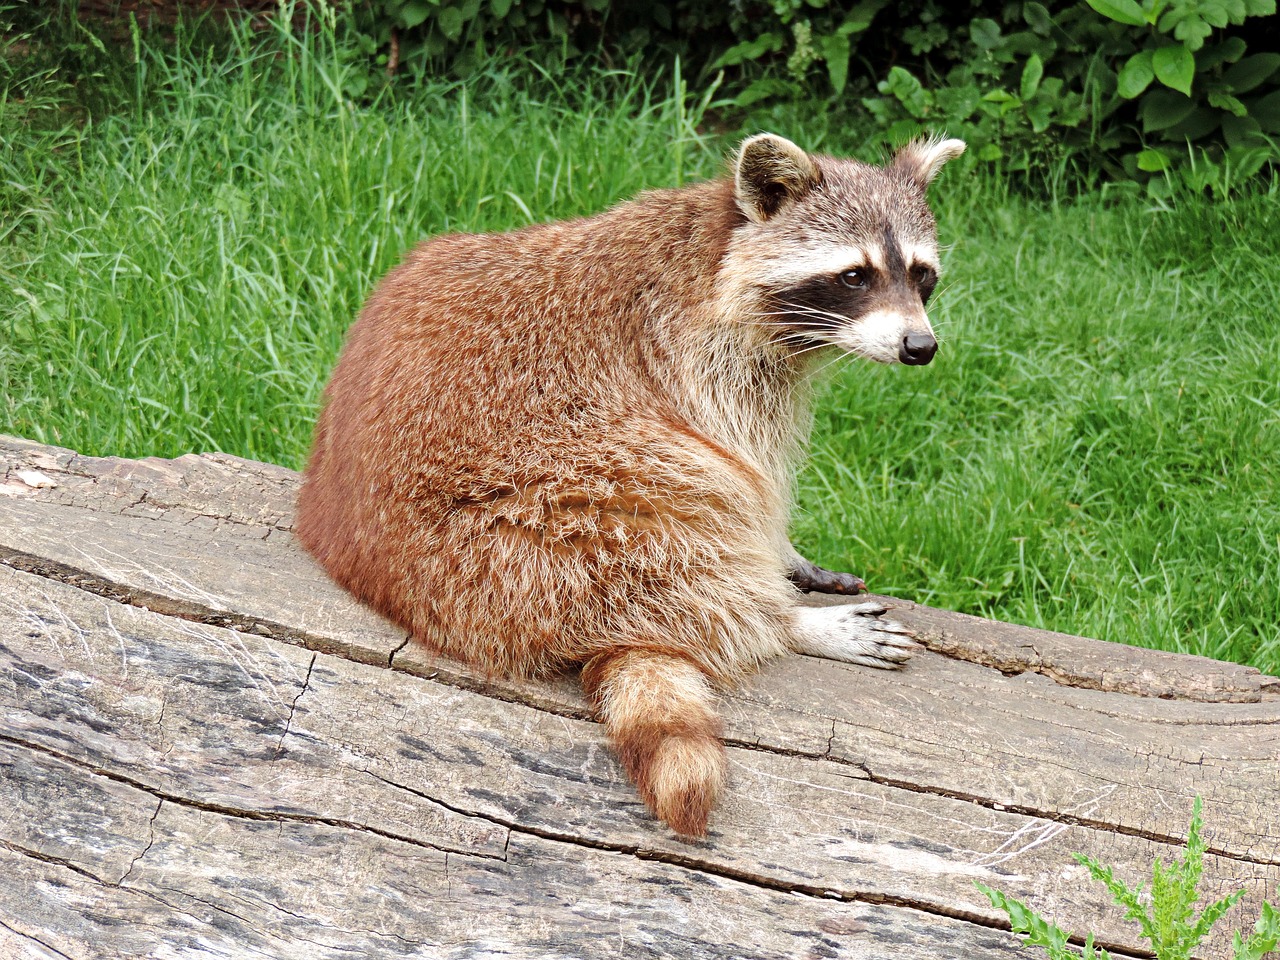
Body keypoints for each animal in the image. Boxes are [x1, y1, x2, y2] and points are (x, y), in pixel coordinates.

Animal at [296, 133, 965, 837]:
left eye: (921, 274)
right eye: (856, 275)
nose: (920, 346)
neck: (715, 248)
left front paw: (788, 558)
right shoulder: (703, 366)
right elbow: (747, 479)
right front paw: (777, 570)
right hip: (522, 527)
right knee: (677, 513)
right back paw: (783, 623)